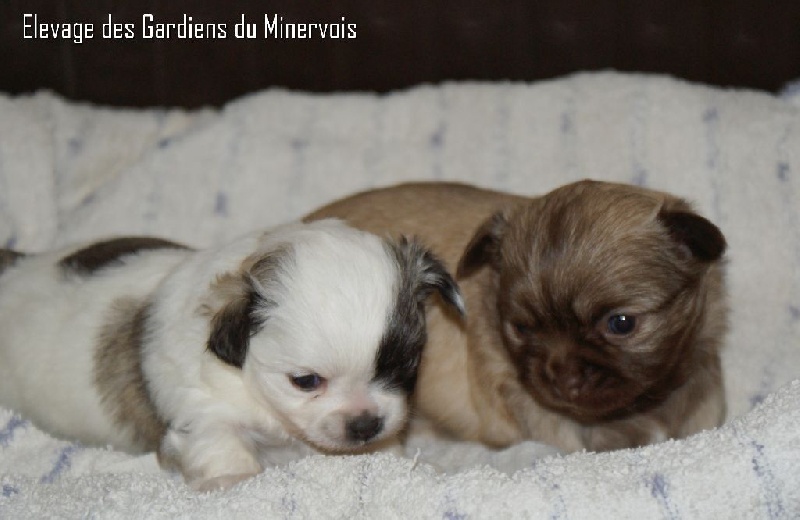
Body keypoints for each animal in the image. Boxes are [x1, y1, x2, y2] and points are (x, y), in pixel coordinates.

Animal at [0, 219, 464, 491]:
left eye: (405, 367)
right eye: (306, 381)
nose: (365, 424)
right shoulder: (202, 416)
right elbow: (224, 447)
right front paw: (236, 482)